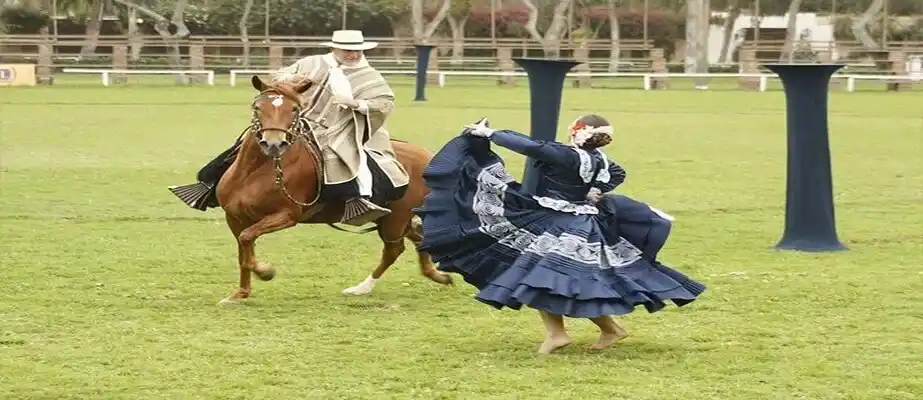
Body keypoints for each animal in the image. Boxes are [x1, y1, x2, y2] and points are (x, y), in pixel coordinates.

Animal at [214, 75, 452, 304]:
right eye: (258, 107)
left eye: (294, 109)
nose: (274, 144)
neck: (255, 173)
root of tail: (428, 156)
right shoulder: (234, 218)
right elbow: (244, 249)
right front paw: (241, 293)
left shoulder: (286, 215)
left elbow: (247, 240)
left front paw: (265, 272)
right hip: (393, 218)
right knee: (418, 239)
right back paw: (436, 275)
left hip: (397, 218)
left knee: (394, 249)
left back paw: (362, 288)